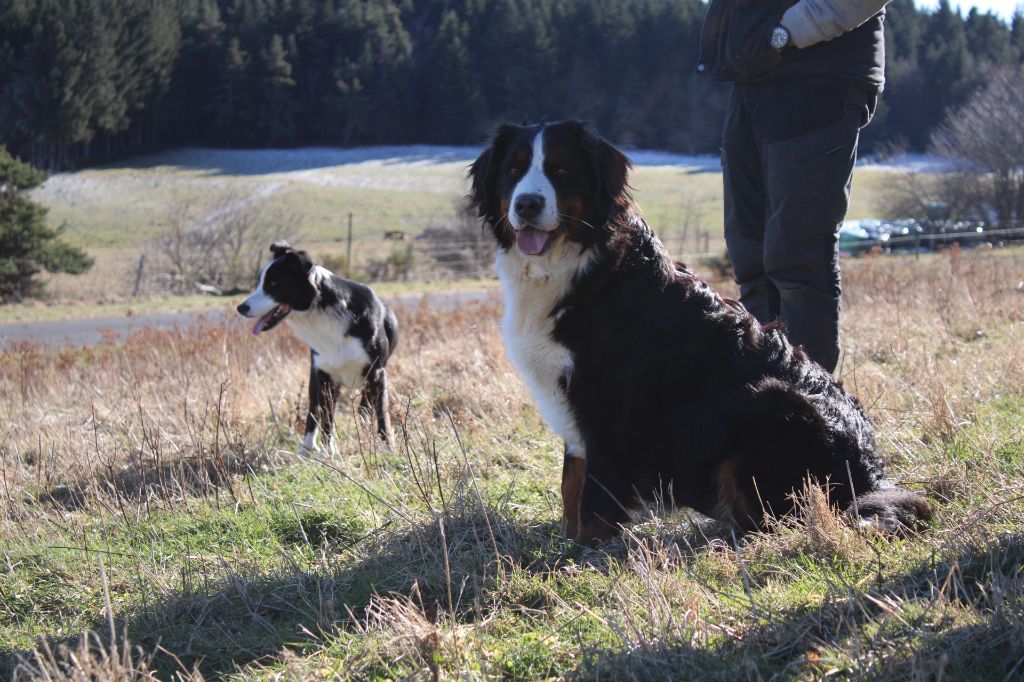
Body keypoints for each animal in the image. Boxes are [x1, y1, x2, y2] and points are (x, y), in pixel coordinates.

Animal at [237, 241, 397, 448]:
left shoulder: (377, 372)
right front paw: (328, 452)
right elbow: (326, 418)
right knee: (314, 411)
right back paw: (307, 447)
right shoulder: (324, 374)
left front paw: (387, 447)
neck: (324, 310)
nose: (241, 308)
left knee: (365, 403)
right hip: (316, 378)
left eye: (273, 284)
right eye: (259, 283)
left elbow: (382, 412)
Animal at [468, 118, 933, 540]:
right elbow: (572, 486)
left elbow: (595, 499)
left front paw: (584, 557)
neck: (578, 265)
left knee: (779, 518)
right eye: (513, 169)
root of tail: (869, 477)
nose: (527, 204)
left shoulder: (609, 408)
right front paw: (567, 545)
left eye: (561, 169)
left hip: (772, 402)